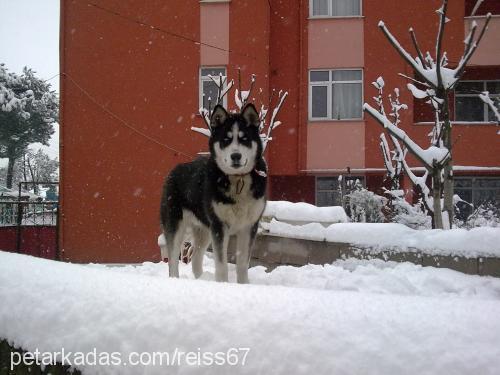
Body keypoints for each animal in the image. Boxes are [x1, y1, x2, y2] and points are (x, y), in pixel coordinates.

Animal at [162, 104, 268, 284]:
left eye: (244, 139)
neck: (238, 179)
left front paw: (244, 285)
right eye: (226, 139)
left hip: (204, 230)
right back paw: (175, 279)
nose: (236, 156)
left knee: (196, 259)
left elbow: (242, 264)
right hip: (176, 224)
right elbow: (221, 264)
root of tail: (174, 170)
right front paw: (223, 284)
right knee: (173, 260)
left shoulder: (249, 226)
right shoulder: (219, 226)